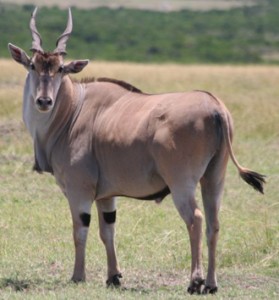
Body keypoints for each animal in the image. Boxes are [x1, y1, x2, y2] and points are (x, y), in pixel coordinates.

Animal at [8, 7, 266, 296]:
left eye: (61, 69)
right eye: (33, 65)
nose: (44, 101)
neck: (73, 110)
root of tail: (216, 107)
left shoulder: (79, 190)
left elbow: (80, 231)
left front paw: (78, 276)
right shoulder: (106, 196)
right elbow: (107, 231)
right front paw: (113, 277)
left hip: (182, 183)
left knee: (196, 220)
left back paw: (195, 281)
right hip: (213, 179)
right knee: (214, 223)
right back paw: (211, 284)